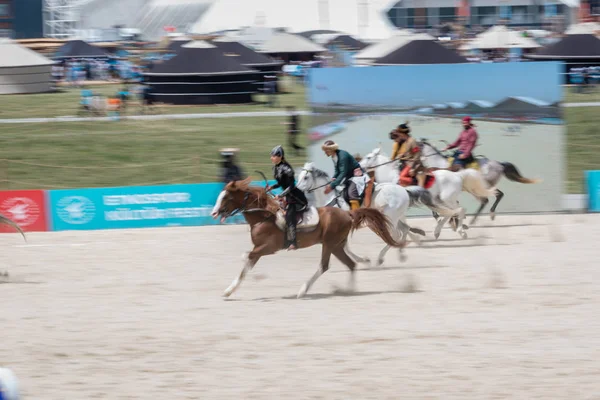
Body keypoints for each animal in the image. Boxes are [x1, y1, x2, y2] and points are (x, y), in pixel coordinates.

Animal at [211, 177, 404, 296]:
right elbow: (245, 268)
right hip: (336, 245)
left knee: (325, 266)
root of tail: (347, 214)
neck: (263, 216)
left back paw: (303, 290)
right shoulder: (259, 250)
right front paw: (228, 291)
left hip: (329, 244)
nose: (214, 213)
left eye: (226, 197)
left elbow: (246, 257)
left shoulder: (267, 248)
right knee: (351, 264)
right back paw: (350, 289)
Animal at [296, 161, 450, 268]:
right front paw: (363, 260)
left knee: (395, 235)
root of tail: (404, 190)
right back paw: (401, 253)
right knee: (404, 230)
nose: (296, 190)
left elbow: (345, 247)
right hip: (395, 217)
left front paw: (364, 260)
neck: (332, 199)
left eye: (306, 177)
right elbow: (345, 247)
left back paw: (382, 258)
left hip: (390, 217)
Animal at [358, 148, 494, 239]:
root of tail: (457, 175)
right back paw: (440, 231)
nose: (360, 166)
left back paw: (460, 230)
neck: (391, 178)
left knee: (458, 210)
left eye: (368, 157)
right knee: (451, 212)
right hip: (442, 200)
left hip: (446, 199)